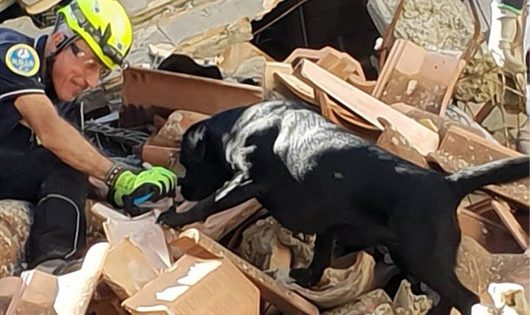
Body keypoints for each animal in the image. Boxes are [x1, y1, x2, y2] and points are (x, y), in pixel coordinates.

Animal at [159, 101, 528, 315]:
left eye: (187, 160)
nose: (181, 188)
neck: (242, 124)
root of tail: (448, 183)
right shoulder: (328, 227)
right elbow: (319, 261)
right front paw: (306, 279)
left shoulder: (246, 180)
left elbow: (207, 205)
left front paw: (176, 216)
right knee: (452, 298)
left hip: (421, 258)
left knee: (466, 299)